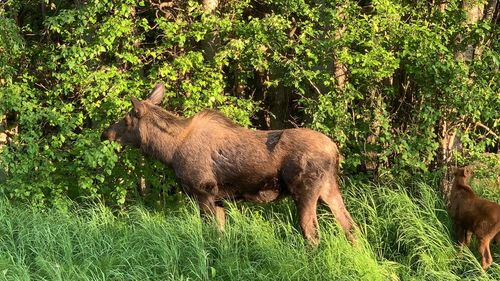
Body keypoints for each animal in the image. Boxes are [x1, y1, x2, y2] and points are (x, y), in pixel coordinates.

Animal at [101, 83, 358, 243]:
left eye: (126, 120)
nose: (105, 133)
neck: (169, 152)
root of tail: (335, 151)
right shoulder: (219, 200)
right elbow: (221, 236)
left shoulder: (203, 193)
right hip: (329, 189)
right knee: (351, 228)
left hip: (305, 191)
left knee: (312, 235)